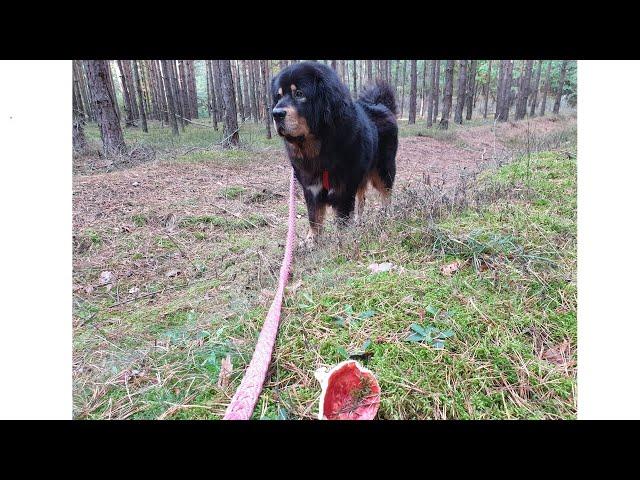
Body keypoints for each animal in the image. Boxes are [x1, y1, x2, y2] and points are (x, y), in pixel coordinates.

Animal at [268, 61, 396, 246]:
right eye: (278, 97)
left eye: (299, 94)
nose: (276, 114)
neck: (320, 149)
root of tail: (381, 105)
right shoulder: (311, 188)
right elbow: (314, 217)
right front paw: (311, 241)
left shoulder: (344, 189)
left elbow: (341, 220)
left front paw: (340, 242)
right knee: (362, 197)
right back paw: (359, 221)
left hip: (382, 171)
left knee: (386, 194)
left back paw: (386, 216)